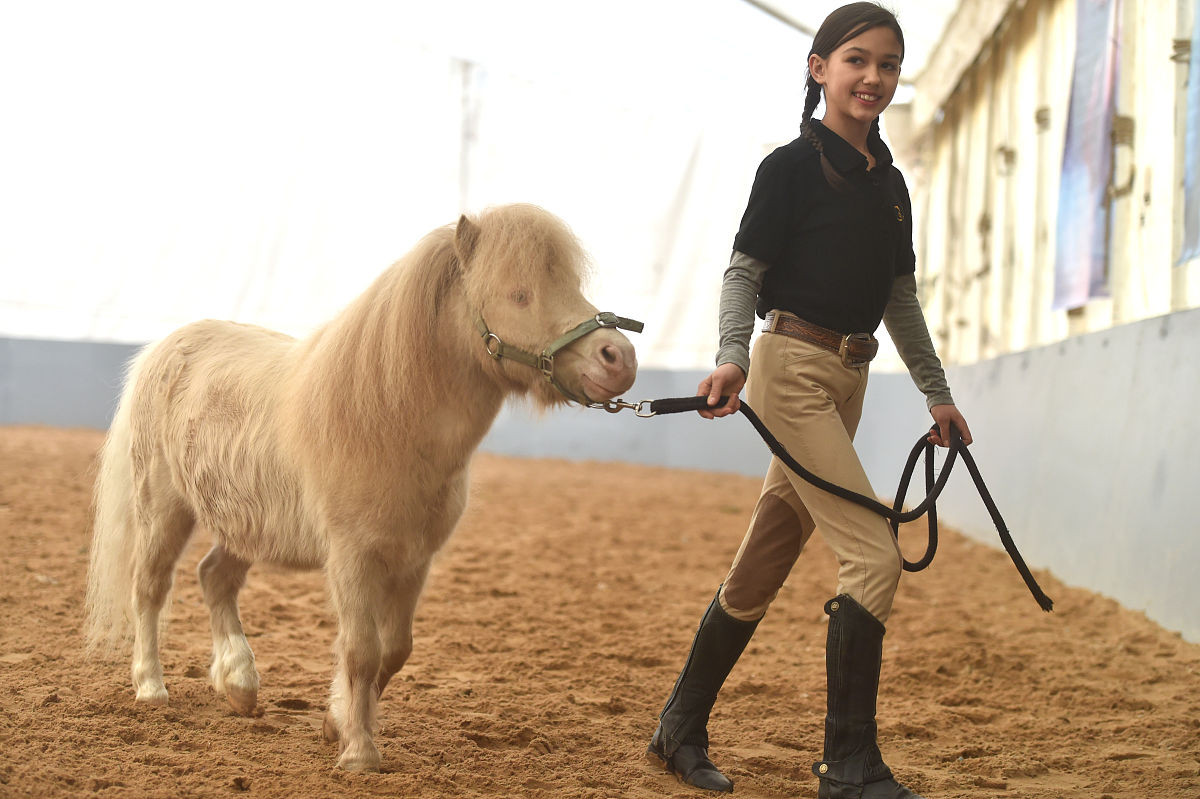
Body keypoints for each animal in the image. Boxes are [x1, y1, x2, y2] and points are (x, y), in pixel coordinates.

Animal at [84, 204, 639, 772]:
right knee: (150, 586)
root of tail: (167, 346)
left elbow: (394, 649)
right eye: (519, 294)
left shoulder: (414, 561)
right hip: (164, 508)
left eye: (570, 283)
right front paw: (359, 754)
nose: (618, 358)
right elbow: (361, 650)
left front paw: (336, 721)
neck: (387, 421)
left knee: (215, 577)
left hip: (246, 523)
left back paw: (238, 683)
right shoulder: (352, 558)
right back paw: (151, 687)